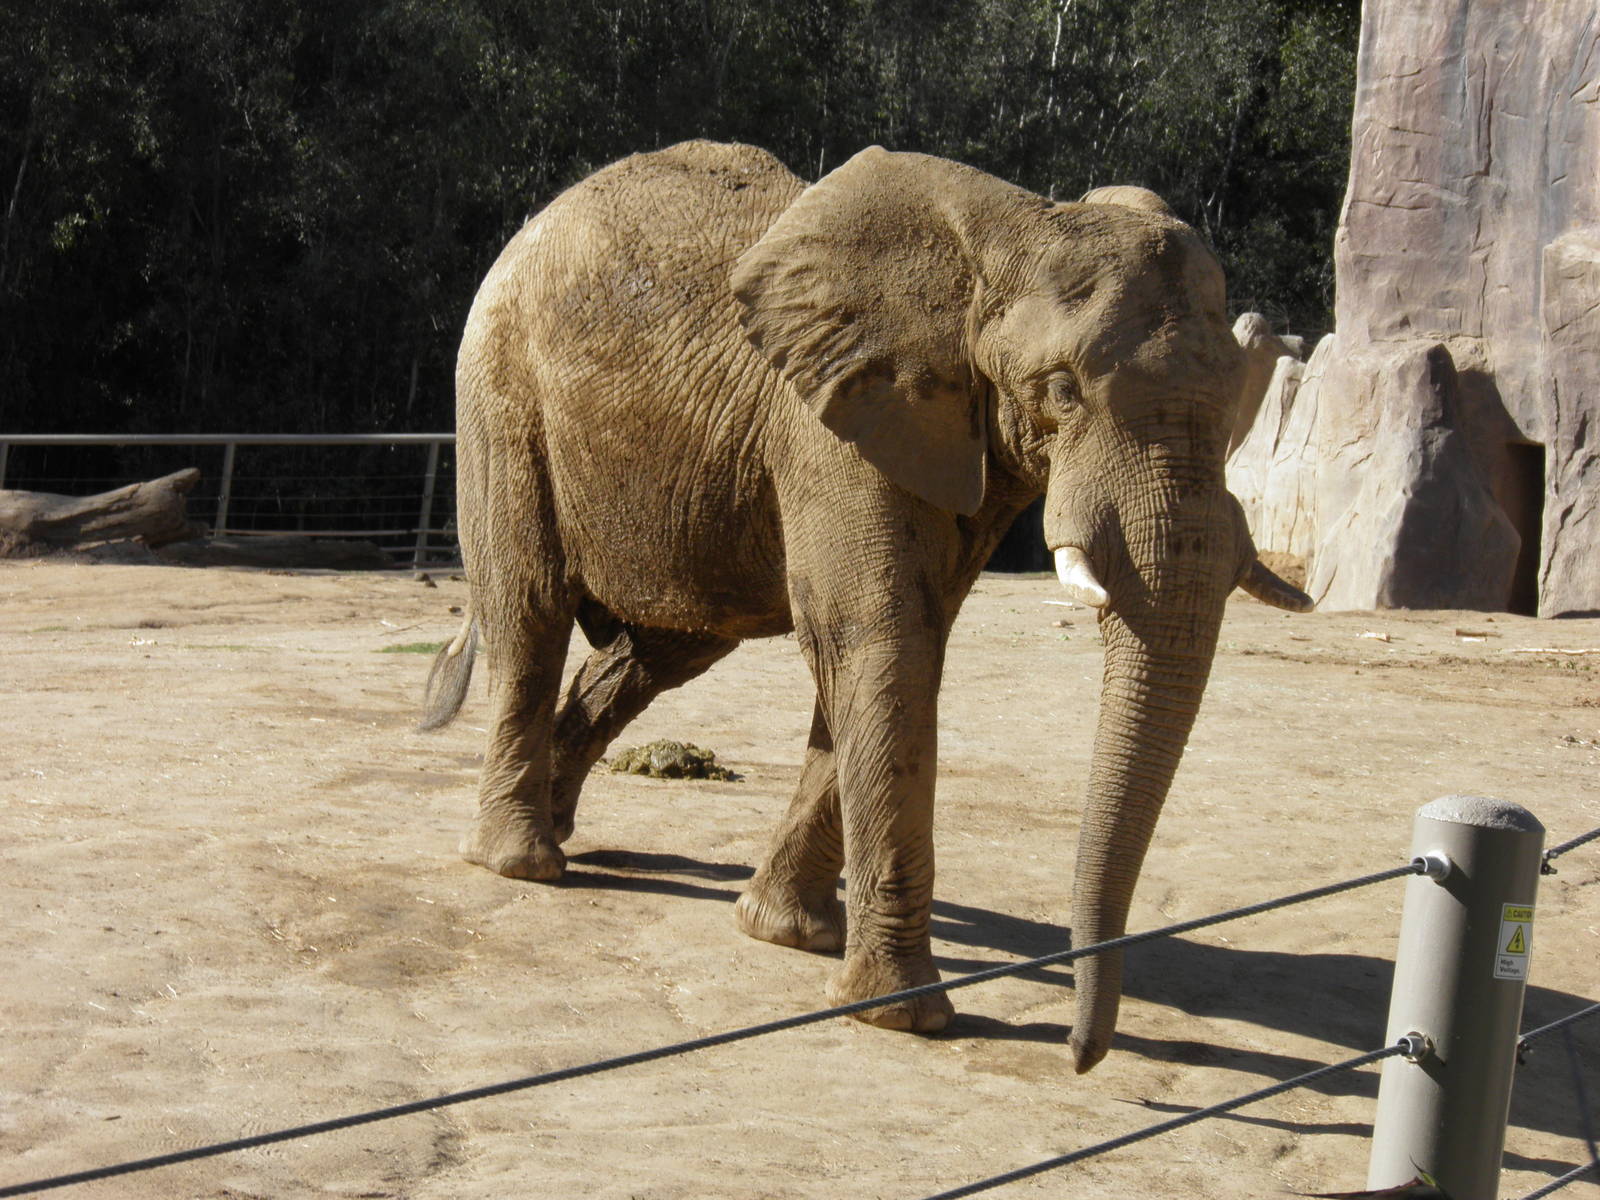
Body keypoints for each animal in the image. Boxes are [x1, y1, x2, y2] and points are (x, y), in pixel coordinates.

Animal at [421, 140, 1312, 1073]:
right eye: (1062, 390)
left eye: (1235, 401)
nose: (1080, 1055)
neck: (1015, 230)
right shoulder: (831, 421)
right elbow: (881, 638)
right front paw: (902, 1017)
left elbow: (894, 644)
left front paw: (786, 936)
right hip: (500, 392)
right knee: (532, 609)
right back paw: (522, 864)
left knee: (664, 649)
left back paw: (558, 826)